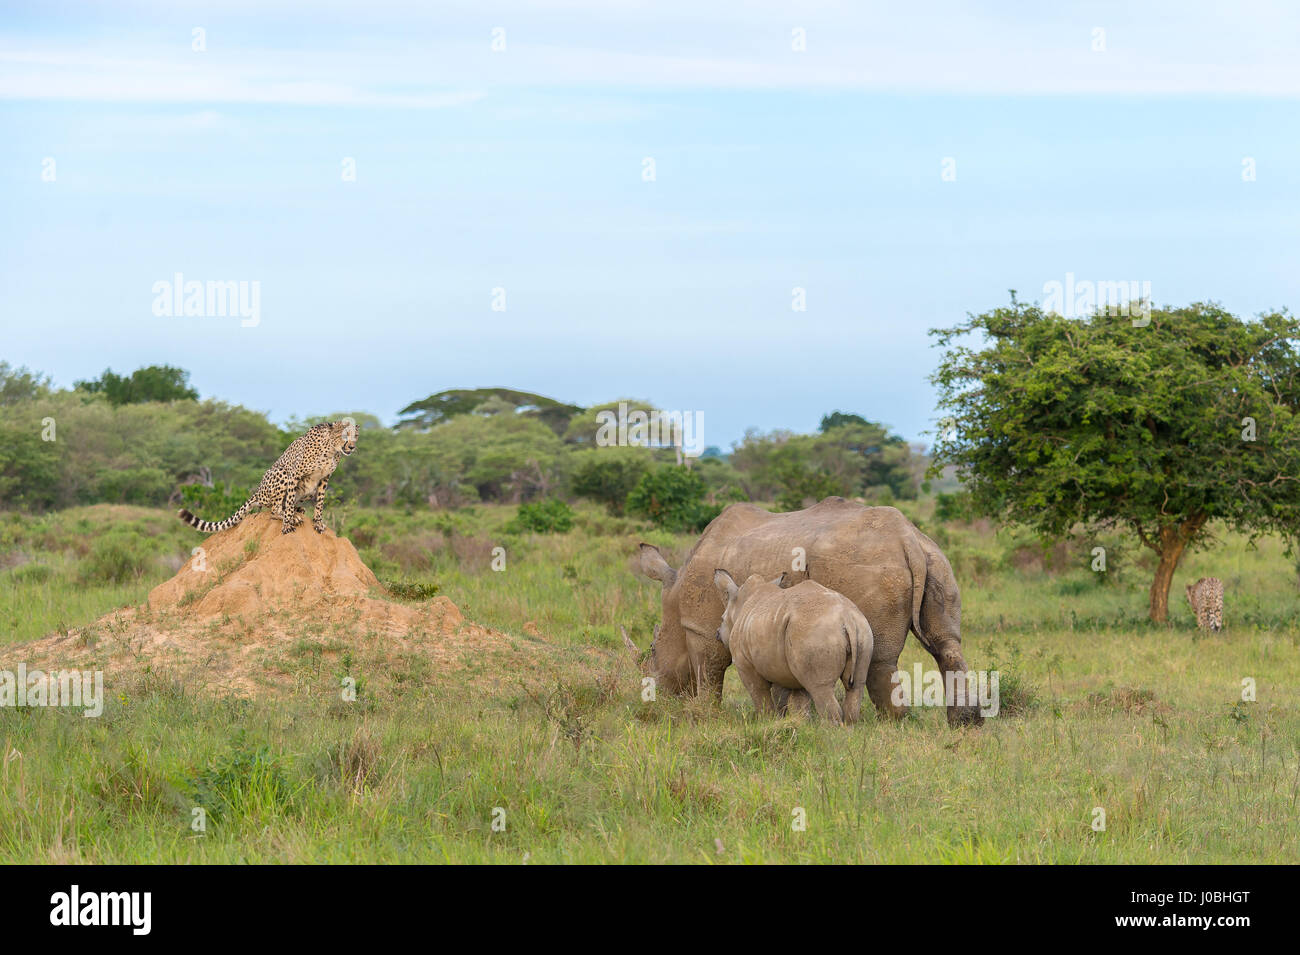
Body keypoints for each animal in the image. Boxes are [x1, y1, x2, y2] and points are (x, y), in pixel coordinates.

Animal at [179, 420, 356, 535]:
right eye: (344, 435)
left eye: (355, 436)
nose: (352, 447)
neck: (331, 449)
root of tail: (257, 491)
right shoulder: (294, 473)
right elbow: (288, 502)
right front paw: (287, 524)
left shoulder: (324, 479)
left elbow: (319, 504)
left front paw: (318, 523)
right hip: (280, 473)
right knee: (274, 509)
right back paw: (292, 515)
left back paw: (299, 511)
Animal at [717, 574, 868, 722]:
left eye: (722, 618)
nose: (717, 634)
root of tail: (846, 618)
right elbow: (797, 698)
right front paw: (799, 723)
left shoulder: (744, 662)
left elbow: (759, 692)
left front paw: (767, 720)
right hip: (860, 627)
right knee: (856, 687)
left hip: (815, 631)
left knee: (820, 688)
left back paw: (829, 729)